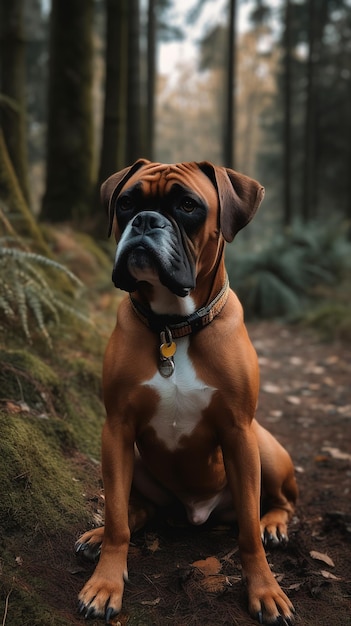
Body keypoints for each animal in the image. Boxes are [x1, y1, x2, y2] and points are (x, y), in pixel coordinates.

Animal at [75, 158, 298, 620]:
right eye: (126, 203)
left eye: (188, 206)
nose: (146, 220)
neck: (173, 327)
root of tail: (197, 513)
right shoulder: (117, 429)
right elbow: (118, 517)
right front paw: (105, 582)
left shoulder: (238, 433)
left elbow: (247, 533)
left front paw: (265, 589)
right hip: (133, 458)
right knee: (137, 509)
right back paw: (98, 535)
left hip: (263, 448)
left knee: (280, 503)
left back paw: (273, 524)